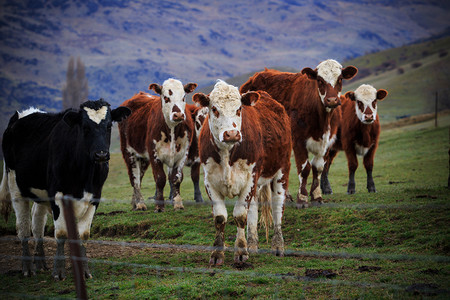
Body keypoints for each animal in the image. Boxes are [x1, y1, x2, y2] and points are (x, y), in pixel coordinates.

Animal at [0, 100, 130, 278]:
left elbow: (83, 235)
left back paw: (40, 263)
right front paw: (59, 272)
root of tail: (23, 114)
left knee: (37, 224)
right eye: (85, 127)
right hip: (15, 187)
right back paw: (28, 268)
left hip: (41, 194)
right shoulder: (58, 195)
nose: (101, 155)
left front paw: (84, 272)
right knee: (23, 228)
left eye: (109, 125)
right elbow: (61, 234)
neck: (85, 175)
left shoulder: (94, 197)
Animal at [119, 78, 197, 212]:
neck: (172, 130)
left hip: (143, 158)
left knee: (139, 177)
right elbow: (160, 179)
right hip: (128, 152)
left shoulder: (182, 154)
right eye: (166, 97)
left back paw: (135, 203)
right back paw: (140, 204)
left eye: (184, 96)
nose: (178, 115)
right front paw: (159, 206)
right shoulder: (154, 154)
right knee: (135, 179)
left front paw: (178, 203)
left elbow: (177, 179)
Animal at [193, 79, 292, 264]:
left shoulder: (250, 178)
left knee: (277, 207)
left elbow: (239, 215)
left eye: (239, 108)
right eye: (214, 109)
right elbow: (220, 217)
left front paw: (240, 251)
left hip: (282, 171)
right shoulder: (209, 181)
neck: (227, 152)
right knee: (253, 208)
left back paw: (278, 246)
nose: (231, 134)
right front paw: (217, 253)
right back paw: (252, 245)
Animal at [241, 59, 356, 207]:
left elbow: (318, 168)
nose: (331, 100)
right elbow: (305, 168)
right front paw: (302, 199)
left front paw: (317, 197)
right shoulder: (299, 141)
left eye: (340, 78)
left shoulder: (327, 143)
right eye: (319, 80)